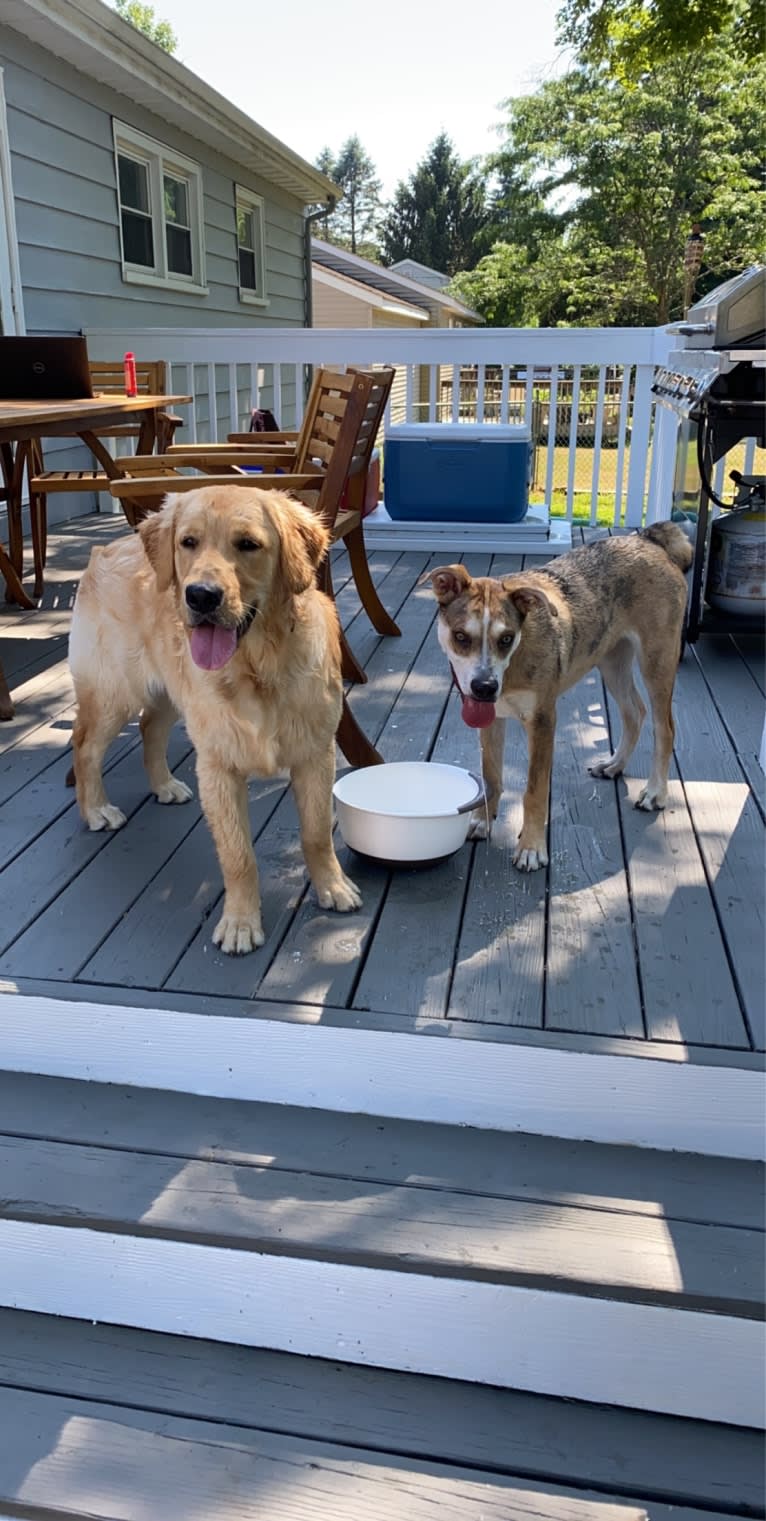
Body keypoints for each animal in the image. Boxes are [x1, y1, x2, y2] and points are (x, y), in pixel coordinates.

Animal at [68, 486, 361, 949]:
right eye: (188, 542)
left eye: (248, 544)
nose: (201, 595)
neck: (258, 668)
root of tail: (104, 549)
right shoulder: (218, 765)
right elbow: (238, 855)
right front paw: (241, 923)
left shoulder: (315, 753)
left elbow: (316, 834)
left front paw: (332, 887)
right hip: (113, 694)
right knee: (85, 748)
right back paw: (96, 809)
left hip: (167, 691)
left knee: (149, 727)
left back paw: (164, 785)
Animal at [431, 523, 693, 870]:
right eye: (460, 636)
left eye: (506, 638)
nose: (484, 687)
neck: (515, 661)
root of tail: (649, 539)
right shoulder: (492, 718)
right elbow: (491, 776)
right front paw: (482, 822)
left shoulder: (543, 721)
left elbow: (534, 791)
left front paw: (531, 848)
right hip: (612, 660)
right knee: (634, 712)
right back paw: (614, 765)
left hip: (657, 661)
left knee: (665, 728)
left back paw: (654, 793)